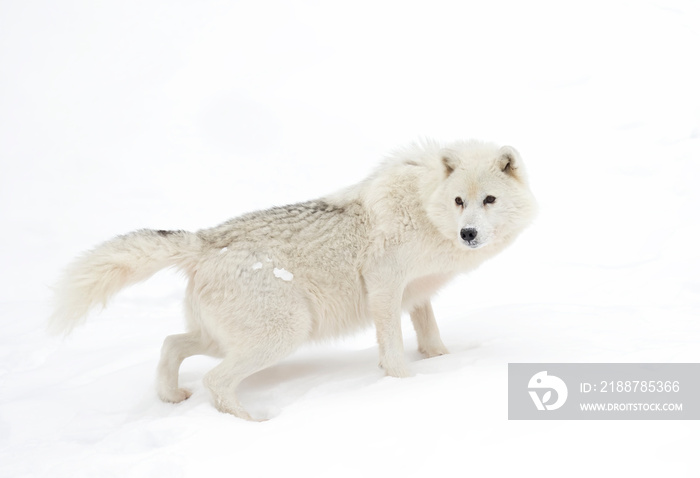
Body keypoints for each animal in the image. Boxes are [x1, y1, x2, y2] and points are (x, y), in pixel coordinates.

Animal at [50, 140, 536, 420]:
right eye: (459, 201)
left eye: (489, 200)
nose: (468, 233)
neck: (425, 209)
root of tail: (205, 241)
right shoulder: (384, 286)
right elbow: (393, 349)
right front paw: (404, 383)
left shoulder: (415, 294)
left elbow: (431, 337)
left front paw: (442, 363)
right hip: (284, 334)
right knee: (215, 381)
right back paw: (254, 424)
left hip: (231, 337)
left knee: (171, 343)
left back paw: (172, 399)